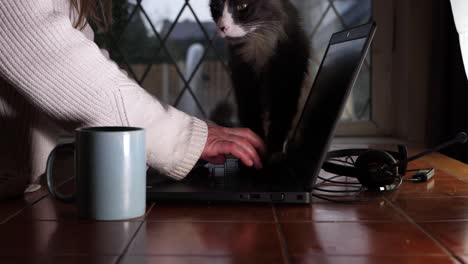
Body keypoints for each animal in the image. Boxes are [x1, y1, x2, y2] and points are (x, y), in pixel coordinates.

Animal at [210, 0, 308, 154]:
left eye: (242, 6)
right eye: (215, 8)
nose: (222, 27)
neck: (258, 44)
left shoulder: (288, 82)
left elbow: (280, 121)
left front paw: (271, 154)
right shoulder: (243, 81)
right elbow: (251, 118)